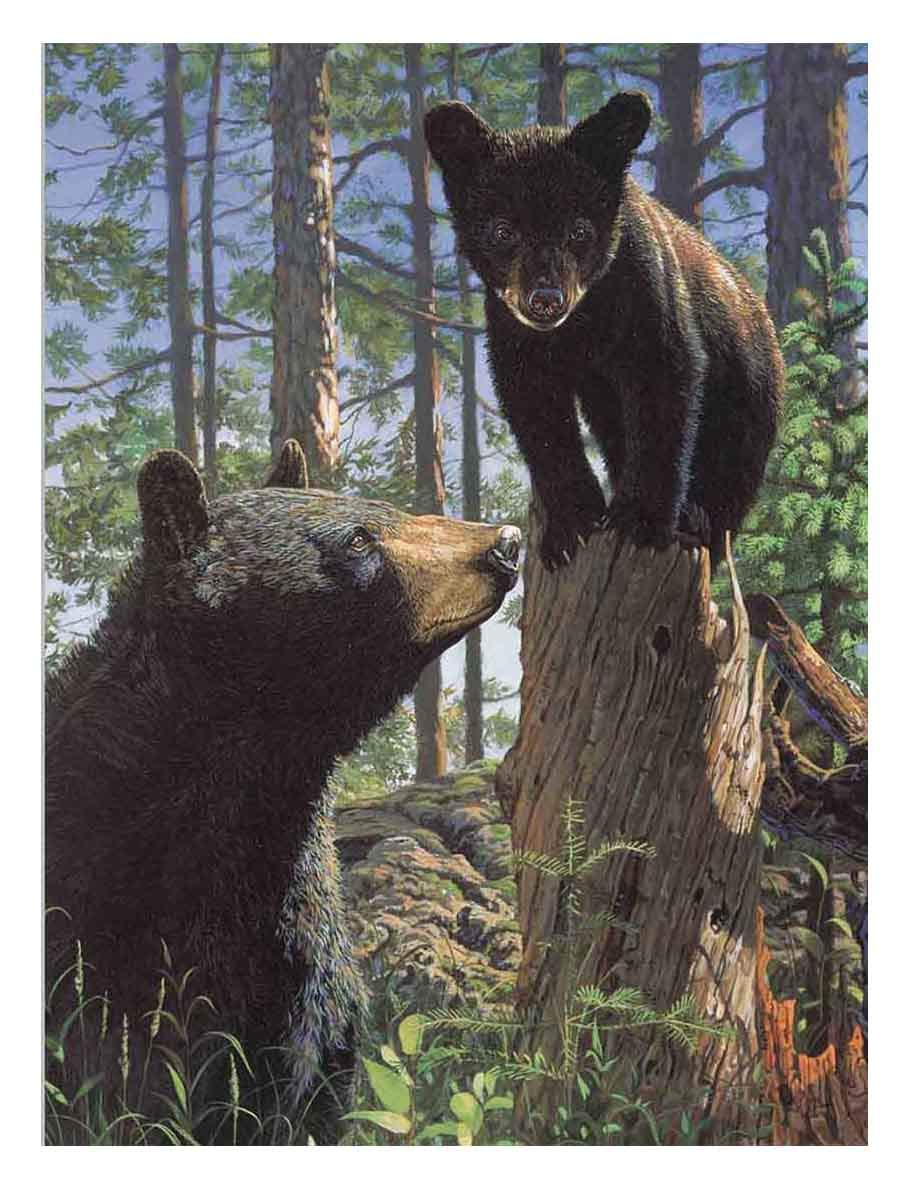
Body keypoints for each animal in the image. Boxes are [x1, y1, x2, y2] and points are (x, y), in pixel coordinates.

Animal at [425, 92, 784, 570]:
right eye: (503, 231)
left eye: (579, 229)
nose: (545, 298)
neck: (584, 323)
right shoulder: (514, 334)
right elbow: (539, 416)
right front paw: (571, 526)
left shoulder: (649, 300)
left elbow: (663, 396)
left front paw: (641, 523)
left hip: (747, 395)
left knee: (731, 467)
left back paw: (699, 519)